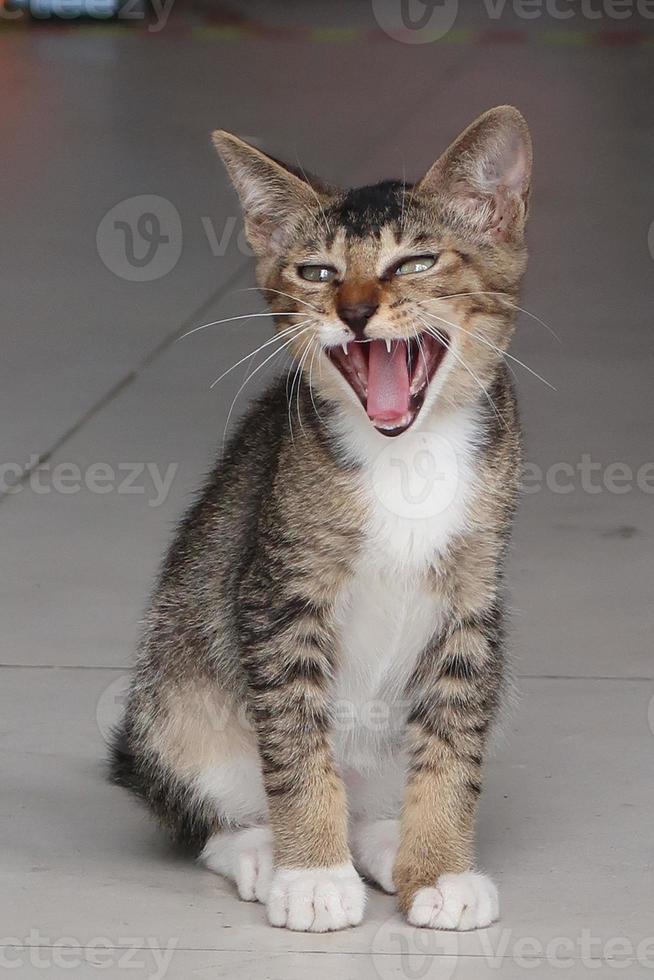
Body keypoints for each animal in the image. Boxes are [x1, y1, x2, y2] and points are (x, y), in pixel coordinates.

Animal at [110, 105, 532, 936]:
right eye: (318, 274)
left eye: (414, 263)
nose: (357, 311)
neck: (408, 457)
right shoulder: (277, 595)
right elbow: (296, 742)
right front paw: (311, 872)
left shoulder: (473, 602)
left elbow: (454, 744)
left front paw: (439, 867)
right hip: (175, 693)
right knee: (207, 799)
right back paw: (260, 849)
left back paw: (386, 840)